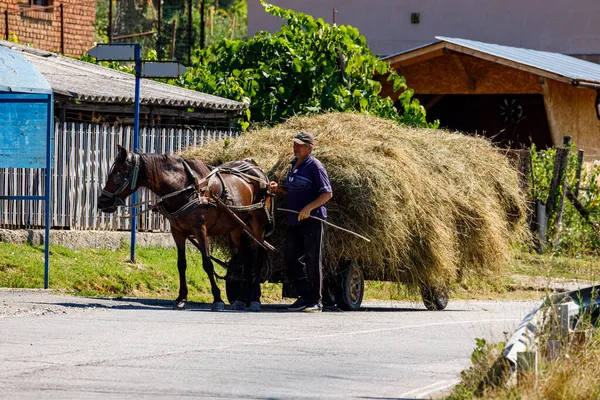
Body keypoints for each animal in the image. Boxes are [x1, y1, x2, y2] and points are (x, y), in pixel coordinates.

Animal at [97, 145, 274, 310]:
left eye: (119, 173)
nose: (101, 202)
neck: (184, 188)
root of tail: (258, 170)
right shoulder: (177, 232)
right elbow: (181, 264)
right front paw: (181, 298)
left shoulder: (200, 230)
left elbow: (207, 263)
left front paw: (217, 299)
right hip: (237, 228)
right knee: (247, 259)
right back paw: (243, 299)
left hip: (258, 225)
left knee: (258, 257)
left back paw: (255, 299)